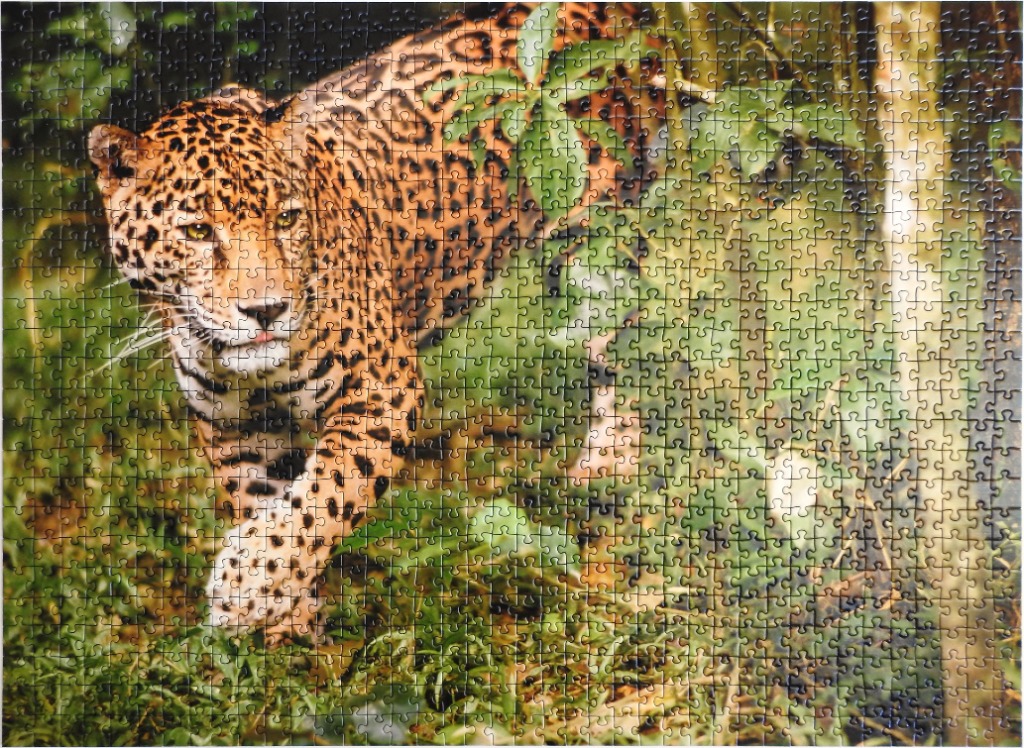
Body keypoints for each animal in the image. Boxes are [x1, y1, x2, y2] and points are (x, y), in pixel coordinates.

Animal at [88, 2, 661, 641]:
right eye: (196, 231)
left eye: (286, 219)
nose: (266, 310)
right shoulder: (234, 430)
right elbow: (269, 503)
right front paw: (286, 618)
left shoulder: (382, 389)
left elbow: (326, 493)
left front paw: (246, 585)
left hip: (600, 236)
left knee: (626, 335)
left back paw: (612, 460)